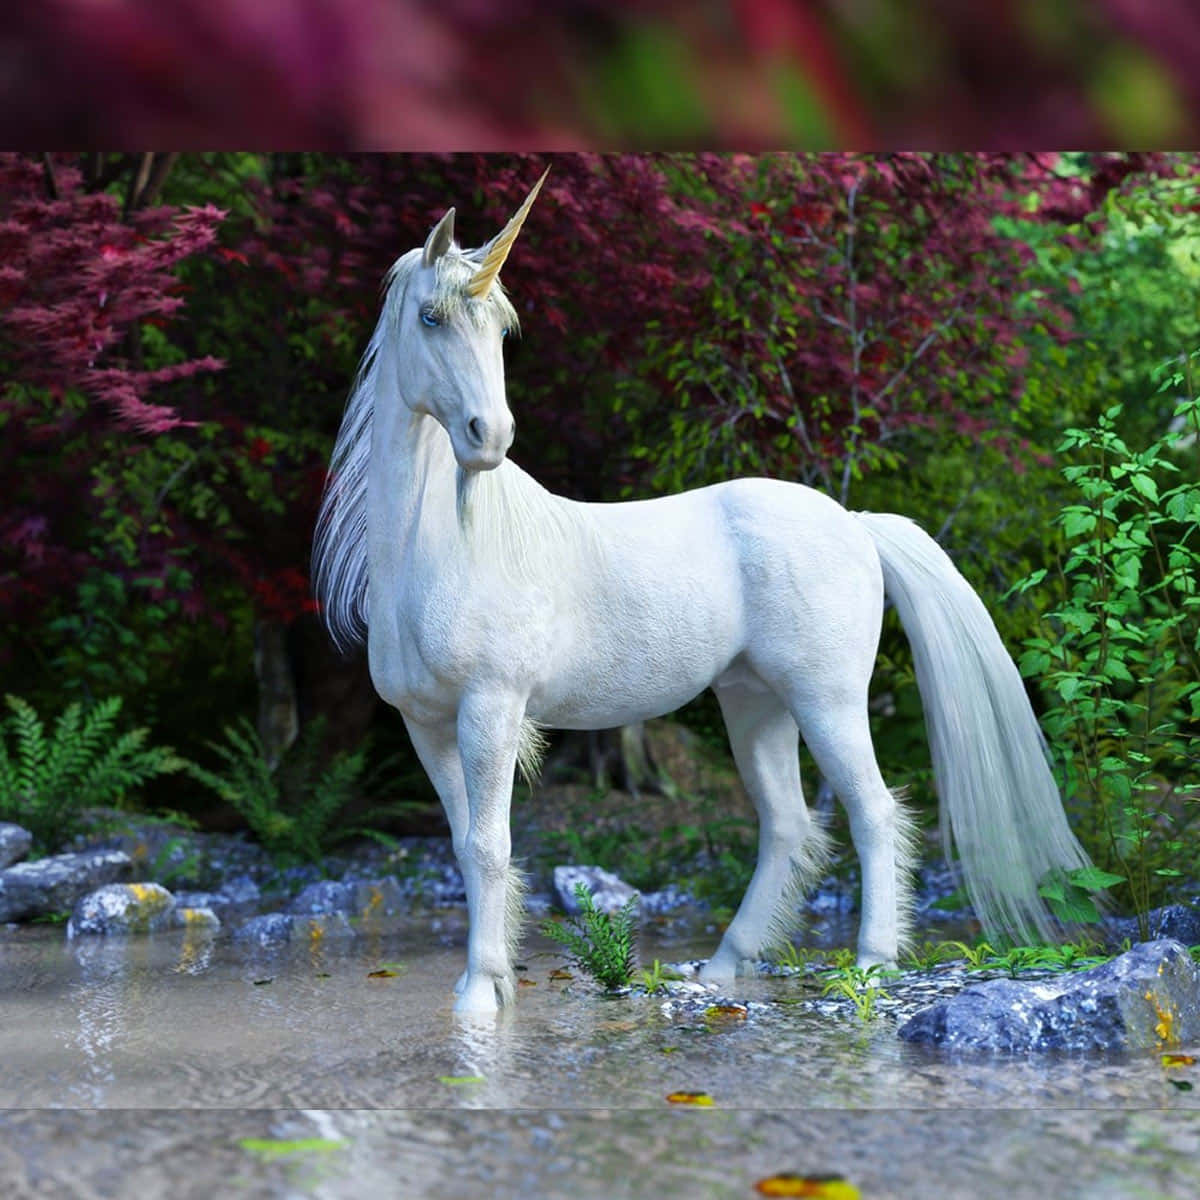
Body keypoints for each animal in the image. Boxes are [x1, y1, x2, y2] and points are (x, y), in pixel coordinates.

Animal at [313, 172, 1092, 1014]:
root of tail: (854, 523)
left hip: (826, 701)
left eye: (500, 332)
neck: (440, 548)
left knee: (874, 813)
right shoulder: (426, 725)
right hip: (757, 705)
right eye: (431, 317)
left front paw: (480, 996)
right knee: (788, 826)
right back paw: (724, 966)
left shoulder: (490, 710)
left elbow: (490, 845)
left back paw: (871, 963)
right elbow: (464, 845)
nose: (490, 438)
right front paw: (487, 983)